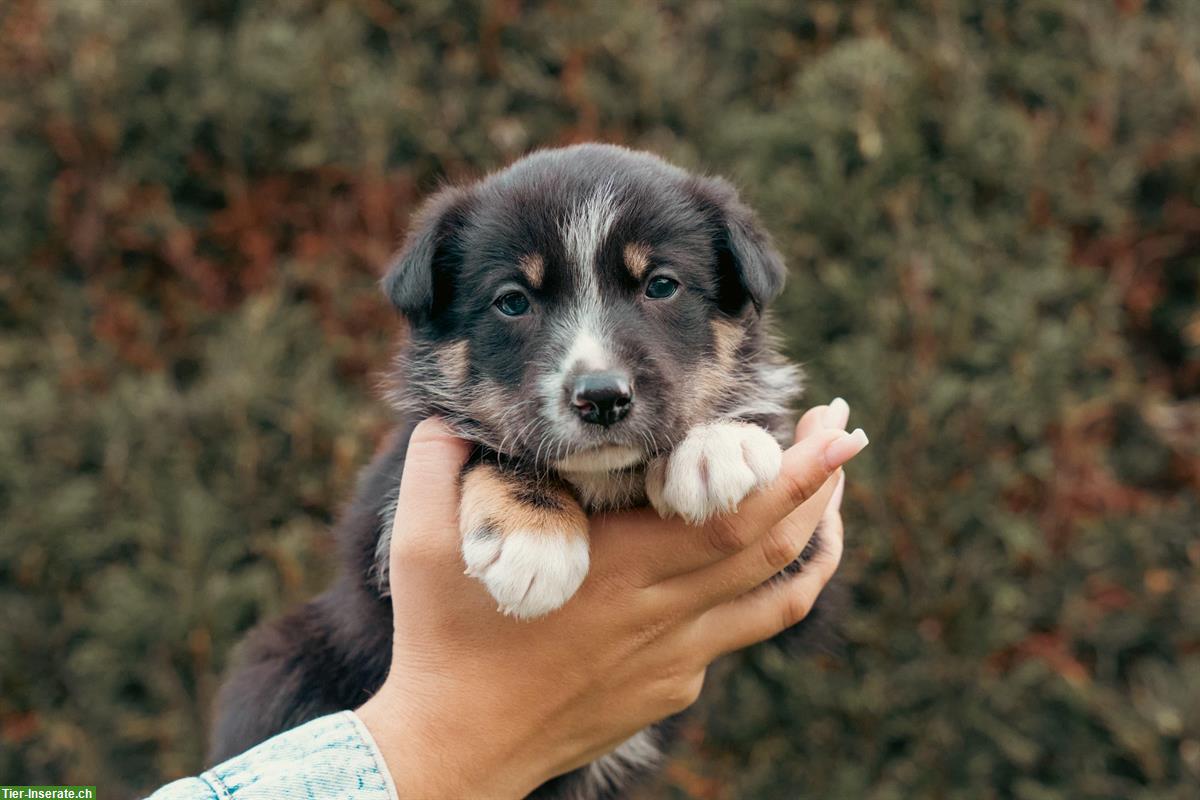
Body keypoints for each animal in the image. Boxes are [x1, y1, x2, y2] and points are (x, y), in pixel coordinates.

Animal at [211, 145, 825, 800]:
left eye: (662, 286)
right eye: (512, 301)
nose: (601, 396)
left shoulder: (800, 545)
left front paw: (721, 444)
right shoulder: (386, 513)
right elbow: (490, 447)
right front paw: (534, 542)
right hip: (280, 662)